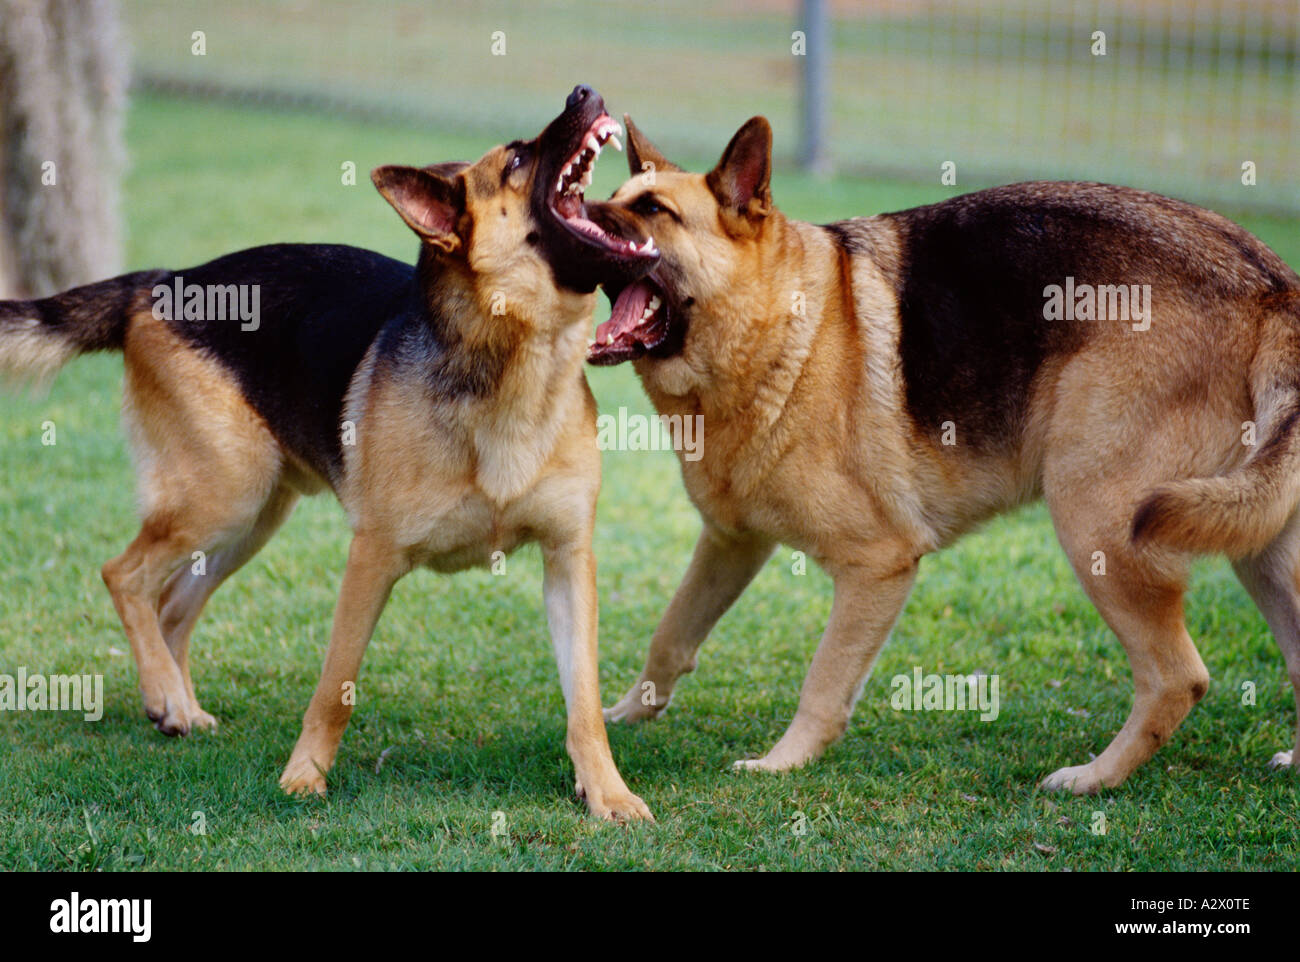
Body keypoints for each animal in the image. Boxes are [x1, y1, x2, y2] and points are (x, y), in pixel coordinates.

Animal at [0, 86, 650, 821]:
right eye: (515, 160)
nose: (583, 92)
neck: (518, 363)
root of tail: (164, 280)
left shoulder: (569, 561)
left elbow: (584, 703)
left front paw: (607, 792)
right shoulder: (371, 559)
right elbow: (333, 688)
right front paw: (303, 777)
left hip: (249, 519)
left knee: (172, 607)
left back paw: (176, 705)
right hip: (223, 498)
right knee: (125, 575)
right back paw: (166, 694)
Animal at [585, 114, 1300, 790]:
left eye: (655, 211)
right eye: (614, 197)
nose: (571, 211)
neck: (779, 328)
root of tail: (1270, 286)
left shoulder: (877, 566)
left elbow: (823, 682)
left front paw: (783, 763)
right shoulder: (731, 543)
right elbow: (671, 633)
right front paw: (624, 714)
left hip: (1097, 523)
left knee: (1177, 677)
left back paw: (1093, 778)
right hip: (1256, 545)